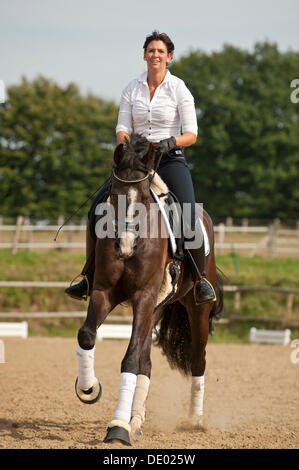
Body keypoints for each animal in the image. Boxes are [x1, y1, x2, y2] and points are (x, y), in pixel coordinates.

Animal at [75, 134, 225, 446]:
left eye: (144, 196)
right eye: (113, 194)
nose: (124, 246)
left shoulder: (144, 296)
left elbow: (130, 357)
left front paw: (117, 427)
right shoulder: (104, 292)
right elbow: (87, 335)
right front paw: (89, 388)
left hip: (197, 309)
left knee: (198, 359)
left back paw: (194, 420)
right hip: (155, 307)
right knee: (146, 362)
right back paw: (136, 421)